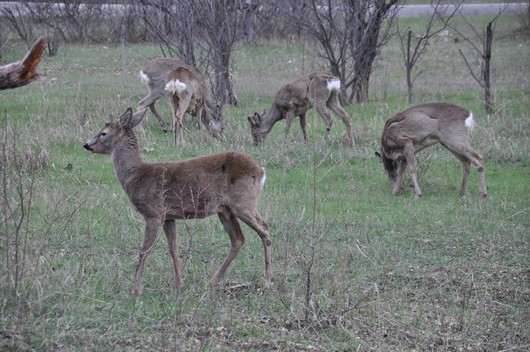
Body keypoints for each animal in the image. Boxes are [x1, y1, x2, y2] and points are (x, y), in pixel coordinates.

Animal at [83, 108, 272, 294]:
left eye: (103, 133)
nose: (86, 145)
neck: (137, 177)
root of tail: (261, 171)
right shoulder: (169, 216)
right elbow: (173, 248)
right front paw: (179, 284)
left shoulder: (154, 213)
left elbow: (144, 250)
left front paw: (136, 289)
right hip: (225, 209)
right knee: (238, 239)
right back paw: (212, 282)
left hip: (243, 202)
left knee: (264, 229)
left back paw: (266, 281)